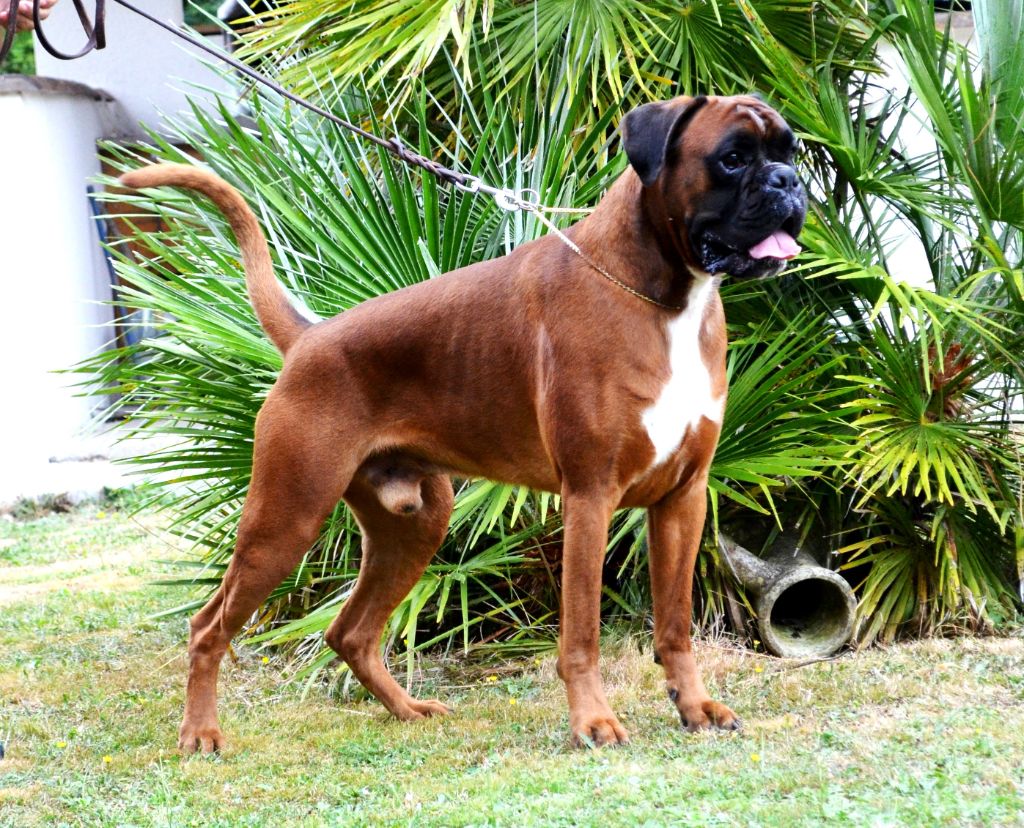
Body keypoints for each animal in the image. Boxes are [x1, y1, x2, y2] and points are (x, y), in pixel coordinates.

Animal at [119, 93, 802, 753]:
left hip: (415, 525)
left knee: (350, 632)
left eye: (790, 151)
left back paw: (406, 711)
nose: (791, 183)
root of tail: (309, 338)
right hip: (287, 517)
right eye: (733, 158)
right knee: (209, 626)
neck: (663, 295)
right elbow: (581, 631)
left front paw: (695, 707)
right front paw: (593, 722)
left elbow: (675, 624)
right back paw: (201, 733)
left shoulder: (683, 499)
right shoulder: (590, 496)